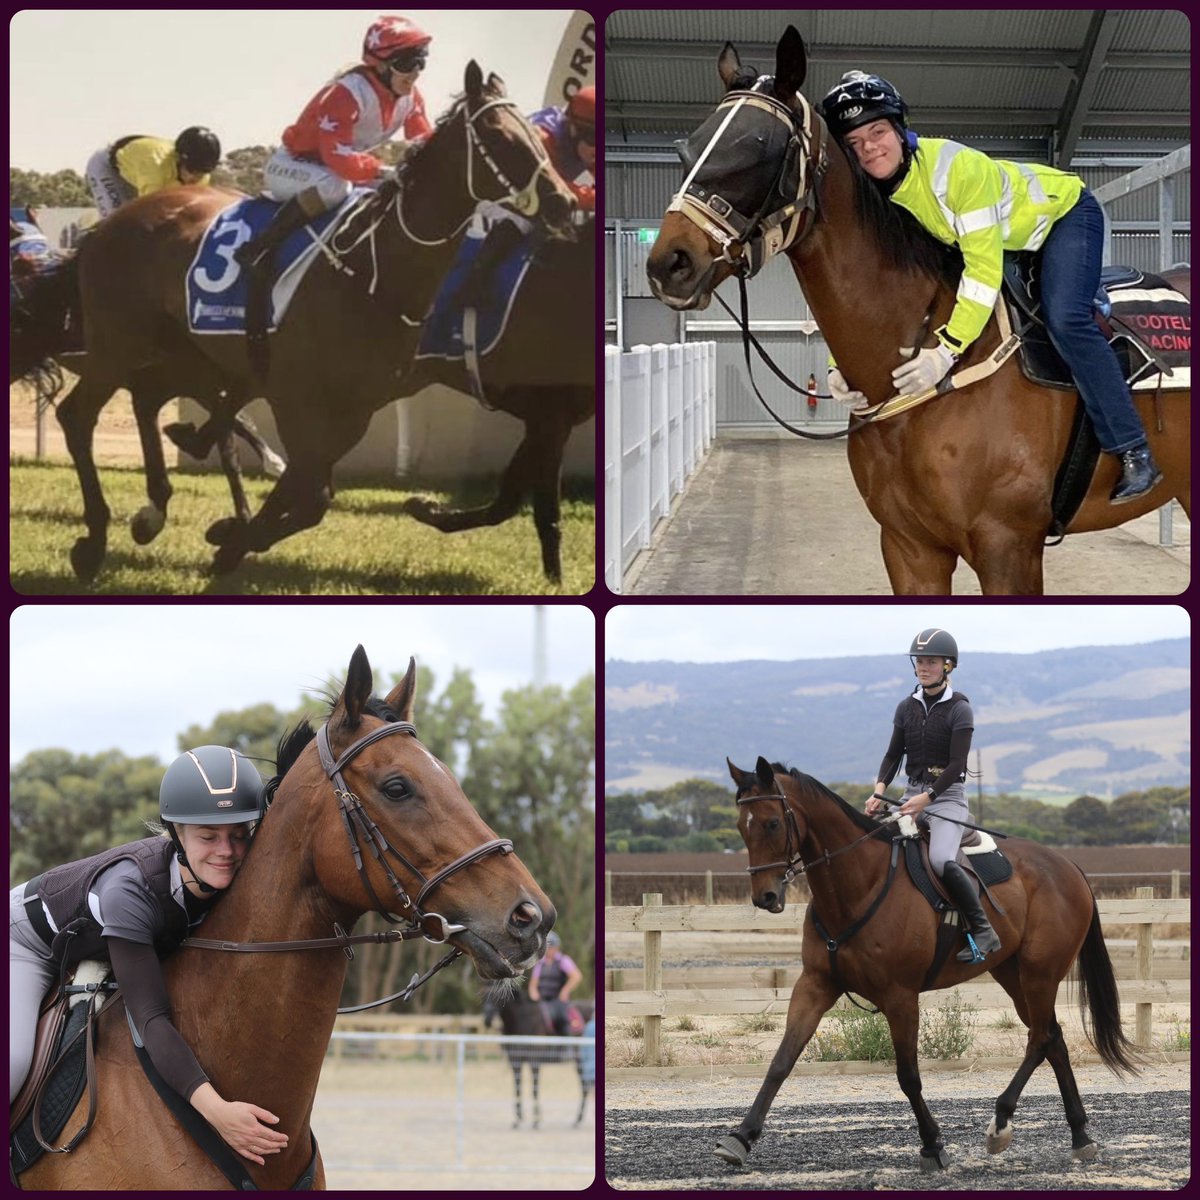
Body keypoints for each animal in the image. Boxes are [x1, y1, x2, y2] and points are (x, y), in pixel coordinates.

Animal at [52, 60, 576, 584]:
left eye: (535, 134)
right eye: (500, 136)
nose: (565, 203)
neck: (374, 270)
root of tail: (114, 219)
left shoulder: (358, 408)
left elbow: (311, 495)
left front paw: (229, 538)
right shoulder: (295, 397)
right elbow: (310, 492)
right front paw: (231, 539)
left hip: (178, 350)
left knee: (147, 399)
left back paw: (154, 507)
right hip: (117, 342)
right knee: (77, 415)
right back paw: (93, 543)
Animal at [483, 991, 595, 1129]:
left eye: (497, 995)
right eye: (484, 994)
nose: (487, 1019)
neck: (522, 1021)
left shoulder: (534, 1061)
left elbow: (534, 1089)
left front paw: (536, 1120)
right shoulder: (515, 1061)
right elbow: (517, 1088)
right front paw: (518, 1119)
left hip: (581, 1060)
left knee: (585, 1086)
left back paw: (578, 1119)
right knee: (585, 1085)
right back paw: (577, 1120)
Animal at [718, 756, 1143, 1173]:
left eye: (773, 823)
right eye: (741, 826)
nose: (765, 896)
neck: (859, 884)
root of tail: (1067, 864)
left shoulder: (900, 996)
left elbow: (908, 1076)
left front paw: (932, 1145)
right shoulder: (816, 985)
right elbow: (781, 1060)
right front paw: (740, 1138)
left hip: (1040, 973)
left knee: (1039, 1040)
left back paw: (1000, 1123)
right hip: (1012, 973)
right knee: (1052, 1037)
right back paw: (1080, 1137)